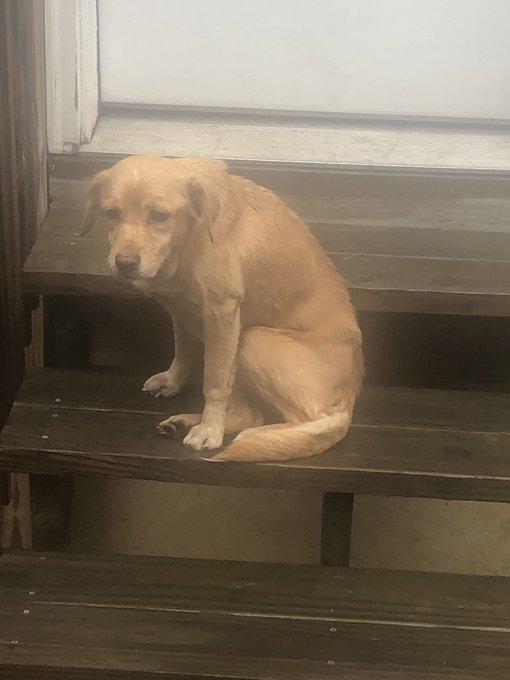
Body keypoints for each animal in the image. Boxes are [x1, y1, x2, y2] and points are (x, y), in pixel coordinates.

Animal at [81, 155, 362, 462]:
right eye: (111, 213)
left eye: (159, 216)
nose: (125, 263)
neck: (188, 240)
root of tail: (351, 393)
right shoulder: (180, 308)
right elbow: (183, 351)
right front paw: (173, 381)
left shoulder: (221, 313)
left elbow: (214, 382)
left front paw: (209, 431)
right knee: (251, 414)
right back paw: (186, 422)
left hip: (253, 340)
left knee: (295, 420)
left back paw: (252, 435)